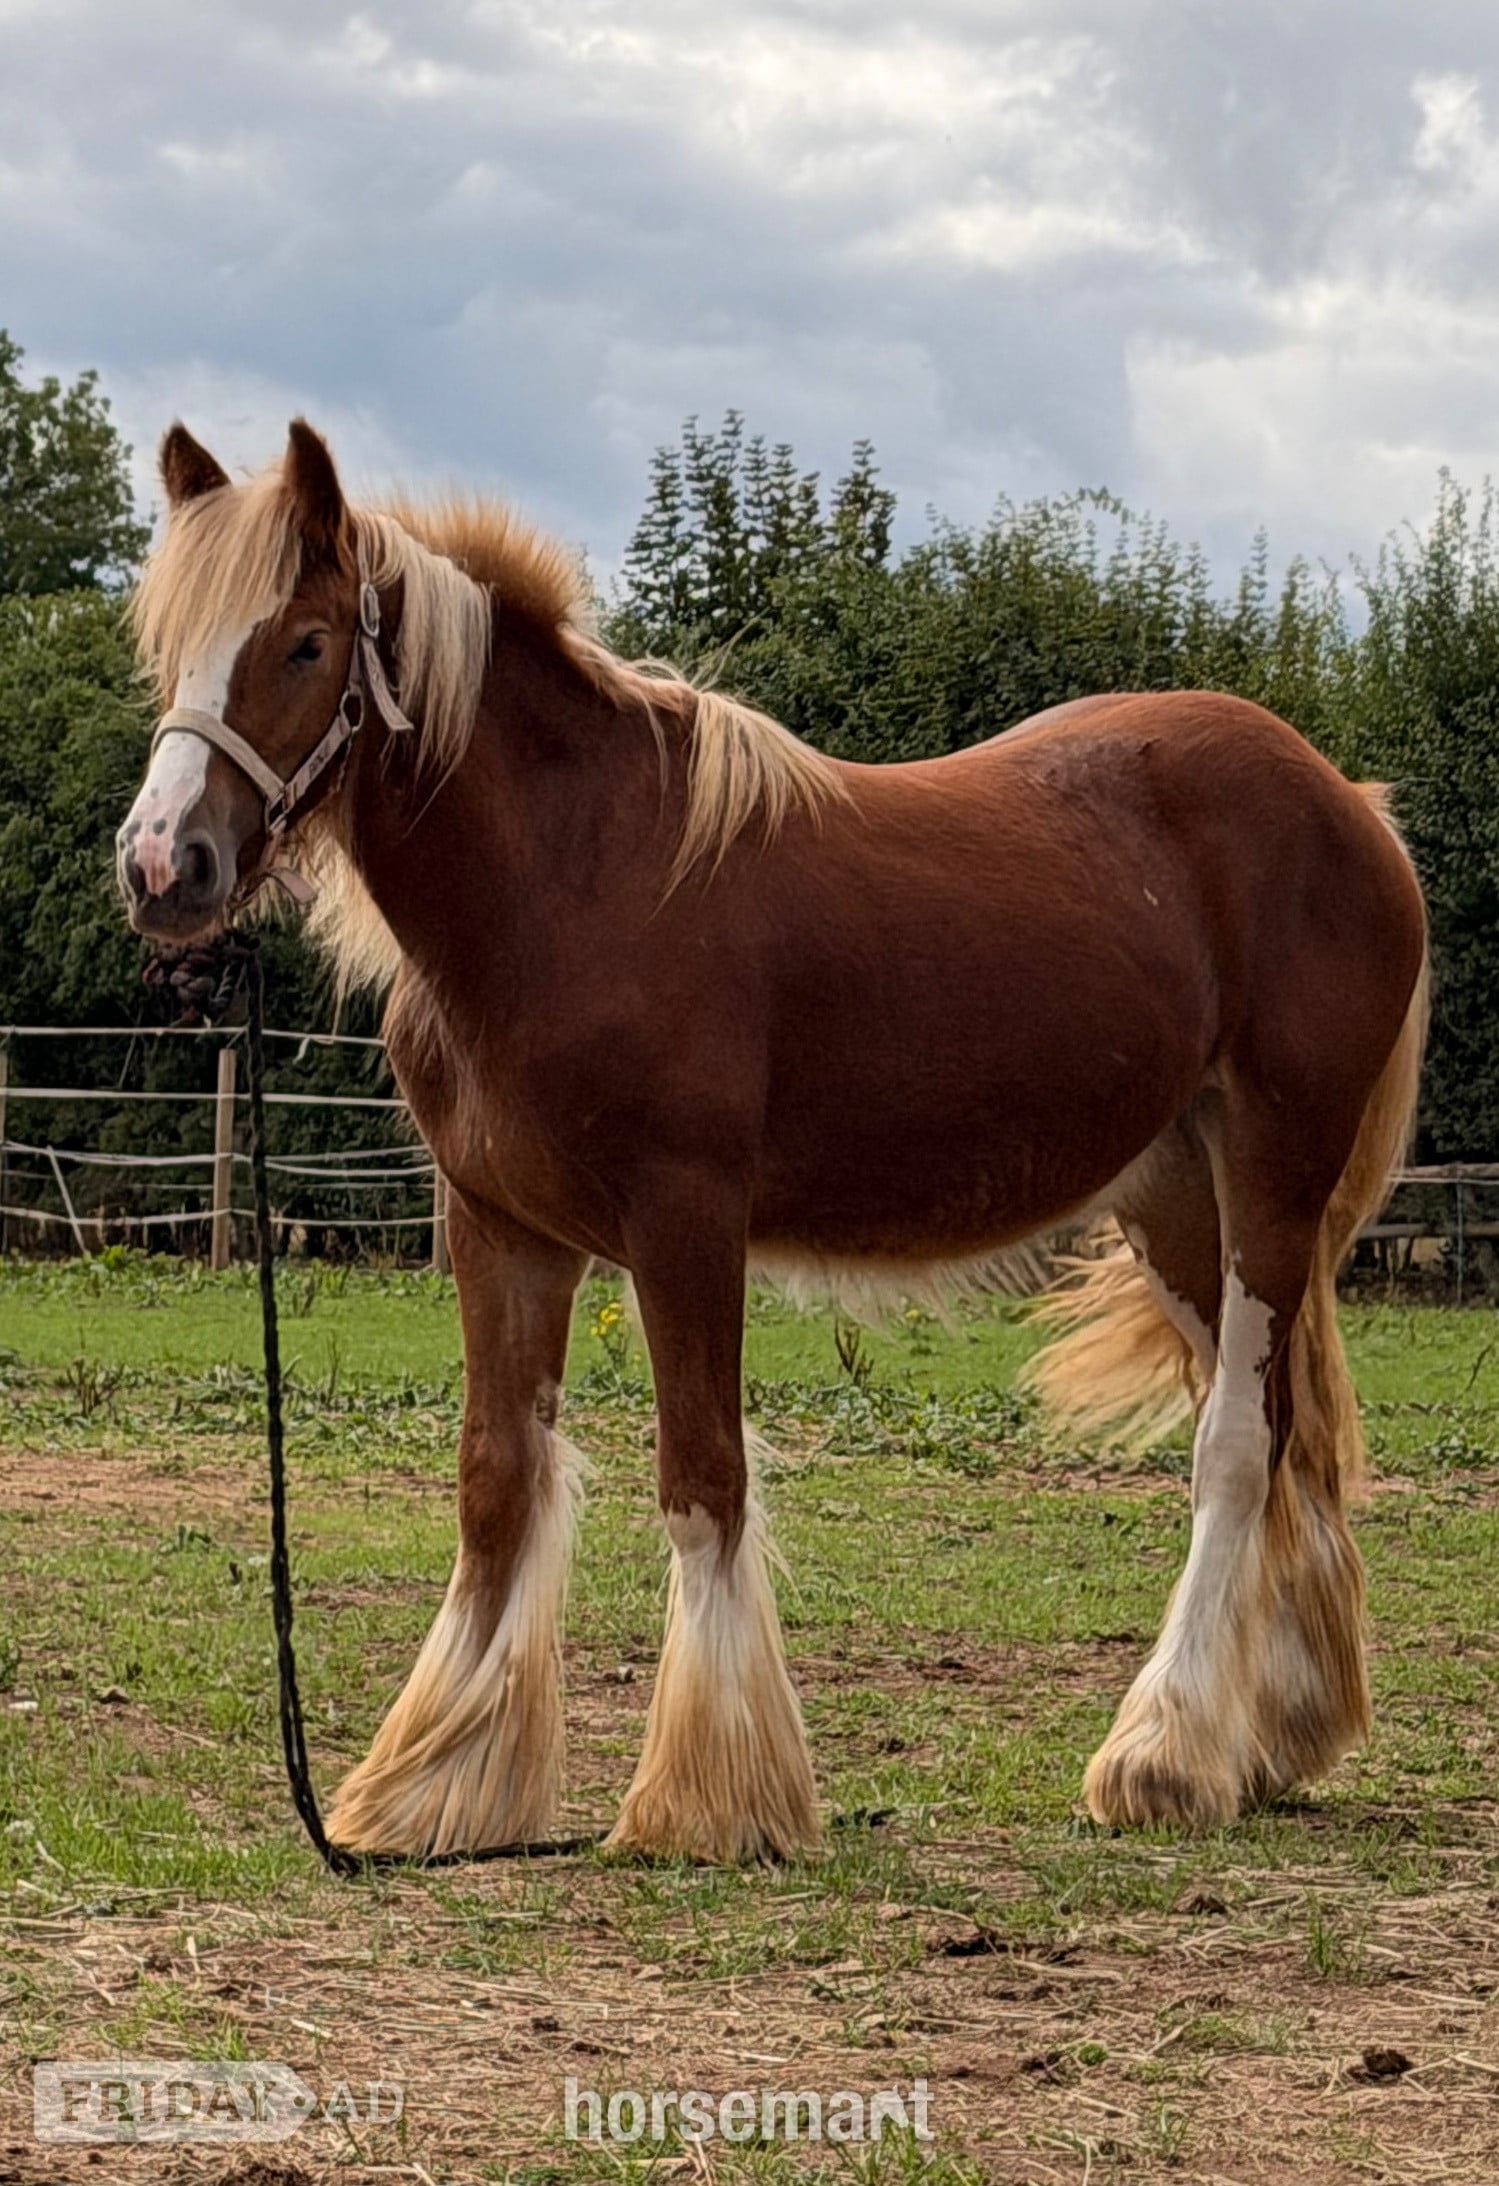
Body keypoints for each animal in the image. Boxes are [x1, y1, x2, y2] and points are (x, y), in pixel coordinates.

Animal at [115, 419, 1428, 1862]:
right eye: (168, 641)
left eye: (303, 643)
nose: (161, 863)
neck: (572, 881)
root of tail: (1346, 800)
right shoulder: (499, 1226)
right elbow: (494, 1478)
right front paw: (440, 1784)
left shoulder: (682, 1218)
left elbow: (702, 1476)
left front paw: (707, 1796)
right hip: (1177, 1197)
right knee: (1285, 1435)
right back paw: (1273, 1736)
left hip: (1271, 1170)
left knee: (1238, 1442)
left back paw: (1166, 1754)